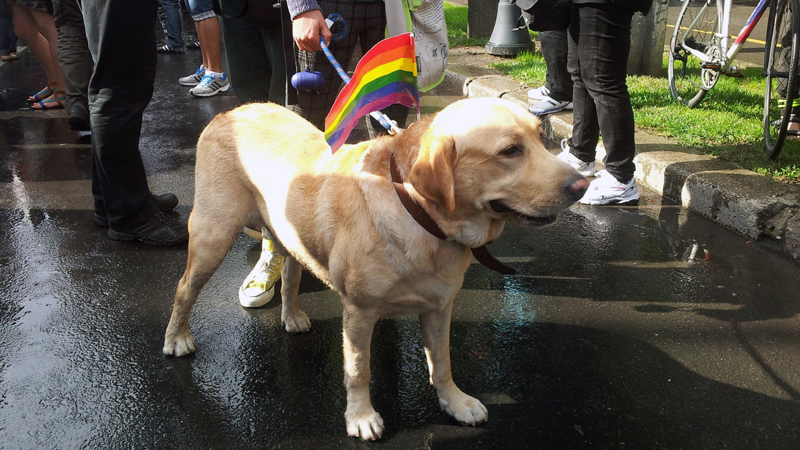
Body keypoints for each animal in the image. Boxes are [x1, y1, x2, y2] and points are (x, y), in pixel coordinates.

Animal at [163, 98, 588, 440]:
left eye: (540, 138)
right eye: (510, 151)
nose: (582, 185)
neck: (418, 214)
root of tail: (233, 111)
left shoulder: (439, 308)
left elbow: (443, 364)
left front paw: (455, 403)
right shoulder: (359, 312)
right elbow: (358, 371)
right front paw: (360, 417)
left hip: (286, 231)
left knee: (291, 273)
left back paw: (292, 315)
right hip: (213, 235)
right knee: (183, 288)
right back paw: (177, 338)